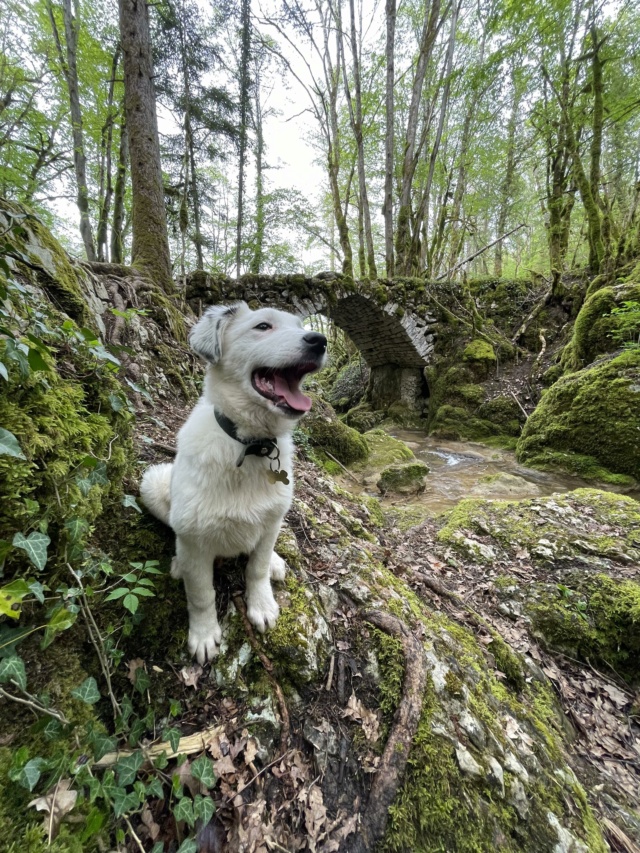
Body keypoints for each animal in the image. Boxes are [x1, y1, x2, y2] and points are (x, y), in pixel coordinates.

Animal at [142, 302, 328, 664]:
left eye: (300, 326)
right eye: (263, 326)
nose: (320, 340)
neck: (251, 446)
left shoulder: (271, 520)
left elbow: (256, 568)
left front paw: (262, 605)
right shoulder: (194, 538)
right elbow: (201, 593)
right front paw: (203, 635)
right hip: (152, 483)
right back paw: (178, 563)